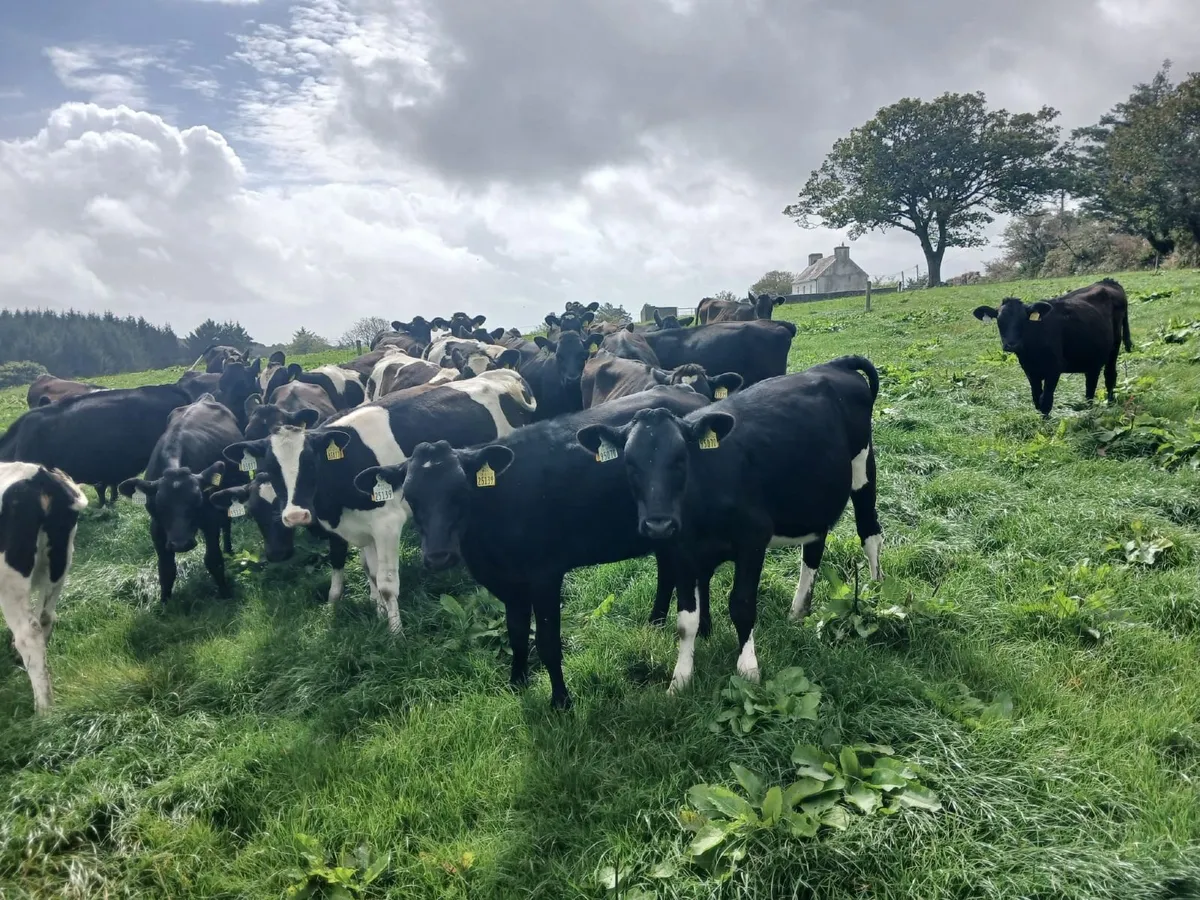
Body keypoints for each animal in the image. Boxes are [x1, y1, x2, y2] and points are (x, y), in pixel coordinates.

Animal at [0, 463, 87, 712]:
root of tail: (40, 475)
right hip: (61, 561)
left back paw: (44, 710)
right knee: (46, 616)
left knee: (29, 633)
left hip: (8, 580)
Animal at [118, 395, 249, 604]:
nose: (181, 544)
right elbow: (165, 568)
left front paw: (225, 593)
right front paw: (164, 603)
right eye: (159, 505)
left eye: (196, 502)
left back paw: (229, 550)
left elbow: (213, 560)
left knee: (227, 524)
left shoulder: (210, 520)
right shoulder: (156, 527)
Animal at [222, 369, 538, 632]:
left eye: (310, 463)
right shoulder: (360, 525)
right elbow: (370, 572)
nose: (295, 515)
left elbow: (386, 584)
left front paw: (395, 633)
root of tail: (504, 376)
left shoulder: (387, 523)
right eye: (271, 467)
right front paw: (377, 611)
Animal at [352, 384, 713, 709]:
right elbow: (516, 633)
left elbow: (547, 641)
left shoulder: (545, 575)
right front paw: (517, 682)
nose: (438, 556)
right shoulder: (505, 581)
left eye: (459, 493)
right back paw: (656, 624)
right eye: (411, 497)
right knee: (667, 570)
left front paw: (561, 702)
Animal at [972, 278, 1132, 417]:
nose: (1011, 344)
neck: (1032, 351)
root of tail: (1108, 281)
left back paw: (1109, 405)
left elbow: (1046, 400)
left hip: (1115, 346)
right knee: (1091, 380)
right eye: (999, 320)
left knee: (1110, 375)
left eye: (1024, 319)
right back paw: (1089, 408)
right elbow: (1036, 398)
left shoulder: (1054, 368)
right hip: (1092, 353)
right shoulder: (1030, 371)